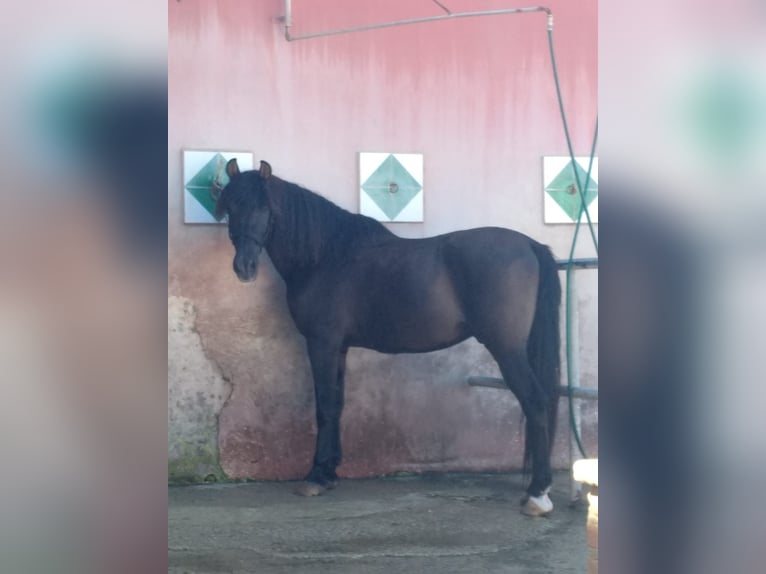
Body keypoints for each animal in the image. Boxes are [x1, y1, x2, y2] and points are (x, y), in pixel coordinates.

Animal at [216, 159, 564, 516]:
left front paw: (315, 477)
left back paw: (538, 495)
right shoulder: (338, 348)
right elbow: (337, 405)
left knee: (536, 402)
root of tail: (530, 245)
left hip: (507, 349)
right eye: (230, 208)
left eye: (265, 208)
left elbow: (324, 407)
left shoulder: (322, 343)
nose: (244, 267)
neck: (325, 256)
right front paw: (329, 472)